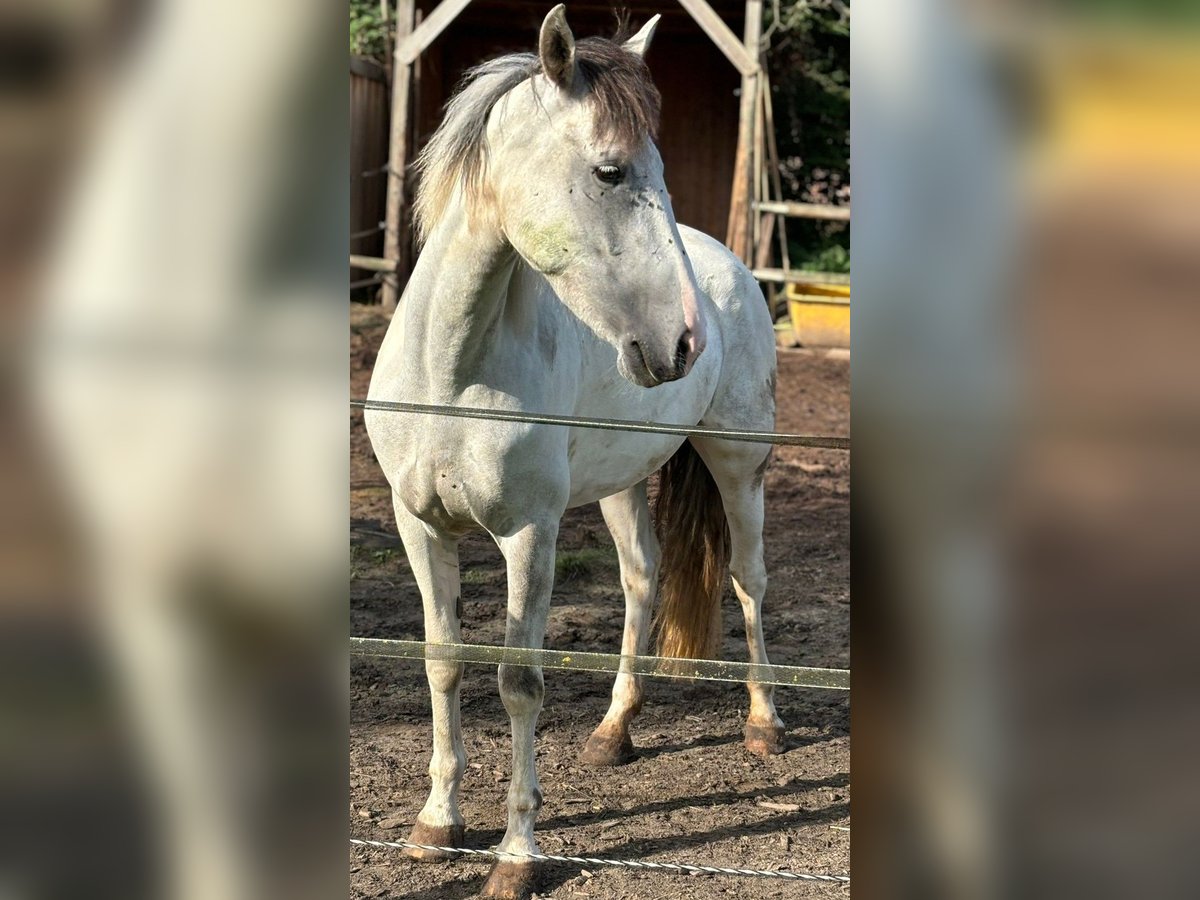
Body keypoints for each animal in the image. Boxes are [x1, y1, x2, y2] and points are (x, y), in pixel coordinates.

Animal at [360, 5, 782, 897]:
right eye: (611, 171)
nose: (683, 341)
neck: (452, 371)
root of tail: (727, 264)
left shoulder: (530, 536)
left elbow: (518, 680)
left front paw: (517, 857)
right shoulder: (419, 528)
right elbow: (442, 662)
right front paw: (435, 826)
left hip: (740, 464)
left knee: (748, 578)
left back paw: (765, 723)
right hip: (622, 483)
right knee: (641, 578)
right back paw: (614, 731)